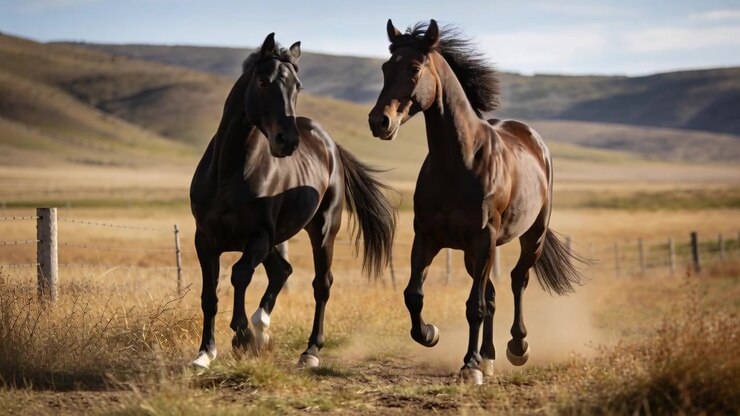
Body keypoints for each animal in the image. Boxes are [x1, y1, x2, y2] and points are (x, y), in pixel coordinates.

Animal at [190, 33, 396, 370]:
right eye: (263, 81)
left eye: (297, 86)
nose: (287, 141)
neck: (229, 172)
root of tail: (329, 144)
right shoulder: (205, 240)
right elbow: (210, 295)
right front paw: (205, 353)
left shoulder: (259, 237)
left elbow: (240, 274)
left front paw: (242, 338)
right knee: (282, 271)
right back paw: (263, 334)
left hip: (323, 230)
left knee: (321, 284)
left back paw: (309, 352)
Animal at [368, 20, 584, 384]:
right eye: (385, 68)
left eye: (414, 68)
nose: (378, 121)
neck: (459, 162)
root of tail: (535, 140)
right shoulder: (427, 238)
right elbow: (414, 295)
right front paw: (430, 334)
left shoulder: (483, 239)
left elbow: (474, 306)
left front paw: (469, 365)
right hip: (475, 253)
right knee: (493, 295)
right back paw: (489, 357)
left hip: (530, 237)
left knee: (517, 281)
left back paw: (516, 348)